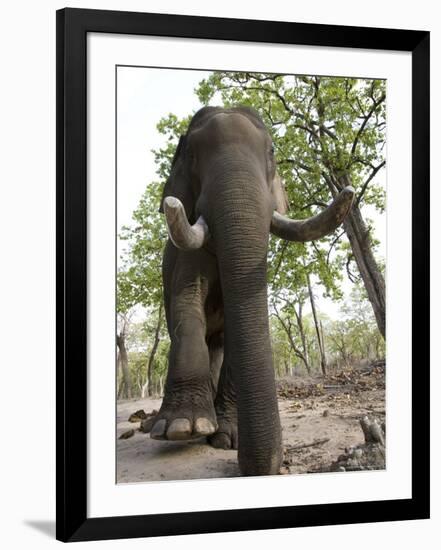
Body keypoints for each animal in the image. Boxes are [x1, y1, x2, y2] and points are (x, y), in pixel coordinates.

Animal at [149, 105, 354, 476]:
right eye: (191, 154)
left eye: (271, 152)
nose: (257, 464)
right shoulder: (183, 259)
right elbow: (187, 303)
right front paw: (181, 428)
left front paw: (228, 438)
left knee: (217, 345)